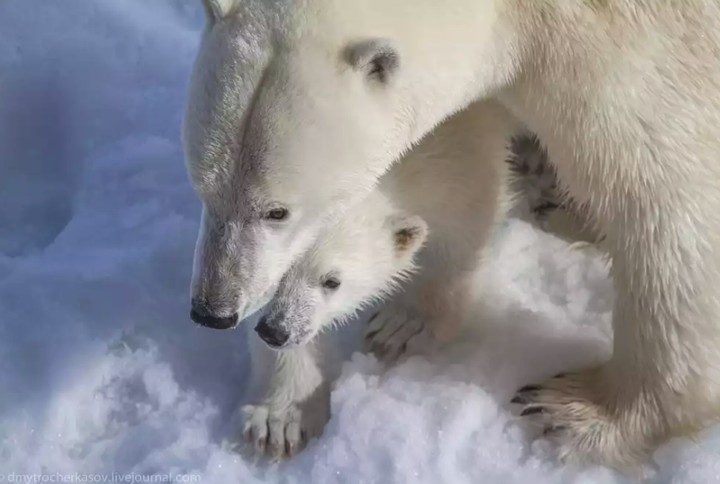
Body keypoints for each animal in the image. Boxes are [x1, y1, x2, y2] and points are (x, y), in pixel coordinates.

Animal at [239, 99, 515, 458]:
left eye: (332, 281)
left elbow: (459, 238)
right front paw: (280, 420)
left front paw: (401, 326)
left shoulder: (467, 155)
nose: (275, 331)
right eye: (277, 276)